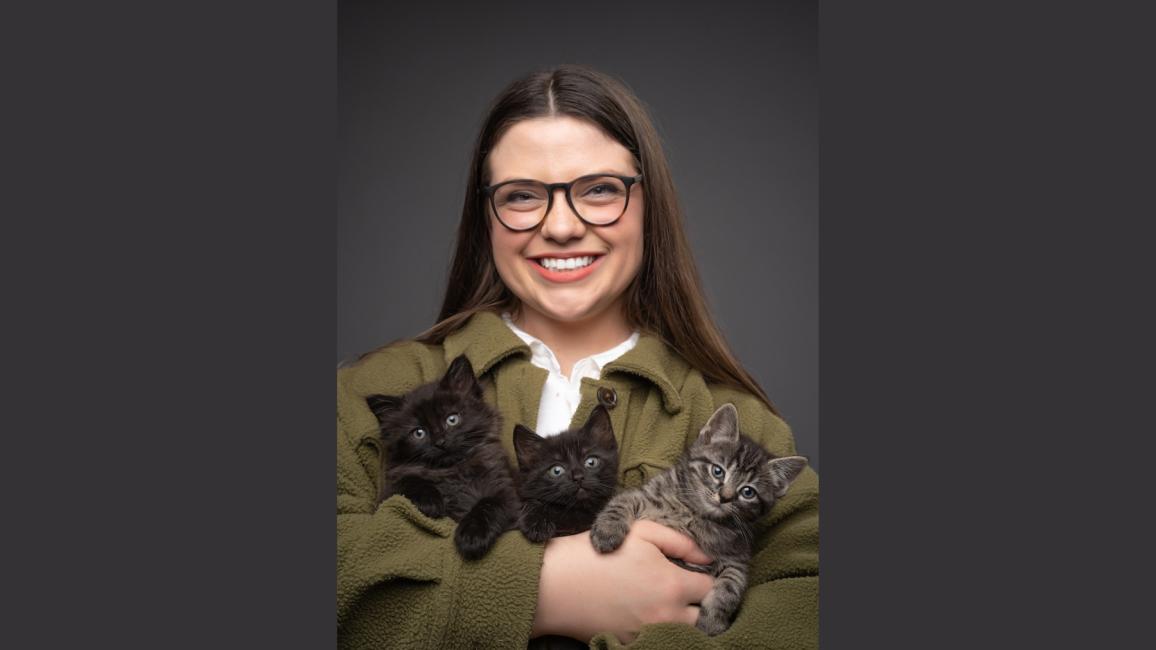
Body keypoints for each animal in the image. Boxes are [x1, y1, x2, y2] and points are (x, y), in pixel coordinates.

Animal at [365, 351, 520, 559]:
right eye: (419, 433)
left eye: (452, 419)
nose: (440, 442)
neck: (454, 471)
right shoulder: (386, 495)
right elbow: (408, 482)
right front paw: (430, 501)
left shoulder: (508, 492)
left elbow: (488, 504)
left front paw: (472, 536)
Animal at [587, 400, 804, 633]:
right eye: (718, 471)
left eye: (748, 492)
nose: (725, 497)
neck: (694, 513)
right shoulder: (644, 495)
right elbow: (622, 501)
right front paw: (607, 531)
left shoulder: (737, 556)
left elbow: (731, 586)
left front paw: (712, 622)